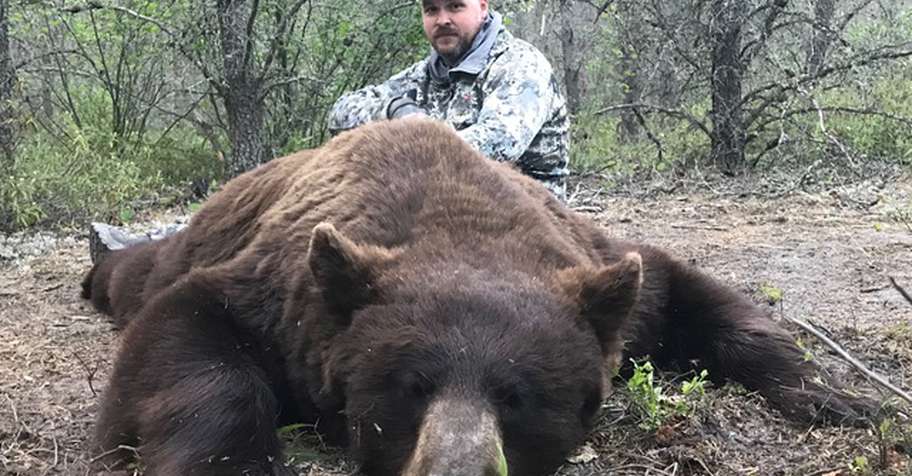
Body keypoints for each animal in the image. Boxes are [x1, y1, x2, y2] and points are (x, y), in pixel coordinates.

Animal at [82, 117, 873, 476]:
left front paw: (841, 396)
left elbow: (688, 292)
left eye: (518, 396)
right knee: (140, 277)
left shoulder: (602, 267)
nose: (457, 468)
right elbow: (188, 335)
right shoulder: (280, 298)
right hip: (199, 238)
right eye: (409, 387)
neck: (453, 217)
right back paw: (100, 255)